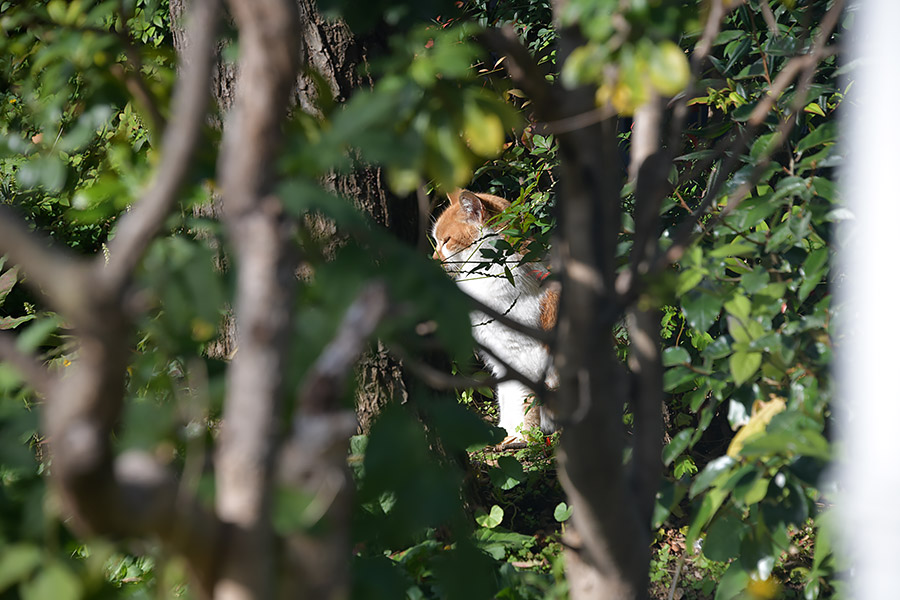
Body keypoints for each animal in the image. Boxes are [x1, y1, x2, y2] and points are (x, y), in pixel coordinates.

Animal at [434, 190, 560, 442]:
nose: (432, 259)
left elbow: (522, 400)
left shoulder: (522, 355)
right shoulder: (500, 358)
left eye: (446, 240)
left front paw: (522, 437)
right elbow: (505, 397)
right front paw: (506, 431)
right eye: (435, 240)